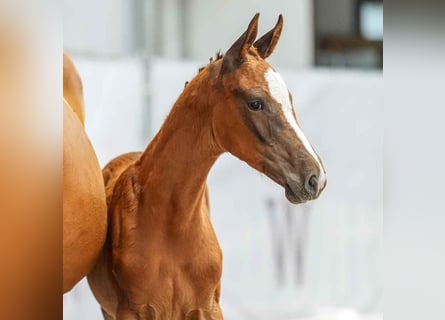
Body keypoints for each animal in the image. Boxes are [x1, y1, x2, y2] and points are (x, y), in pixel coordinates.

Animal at [87, 14, 326, 320]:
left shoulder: (207, 307)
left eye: (290, 100)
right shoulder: (132, 311)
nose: (315, 178)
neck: (172, 224)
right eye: (255, 102)